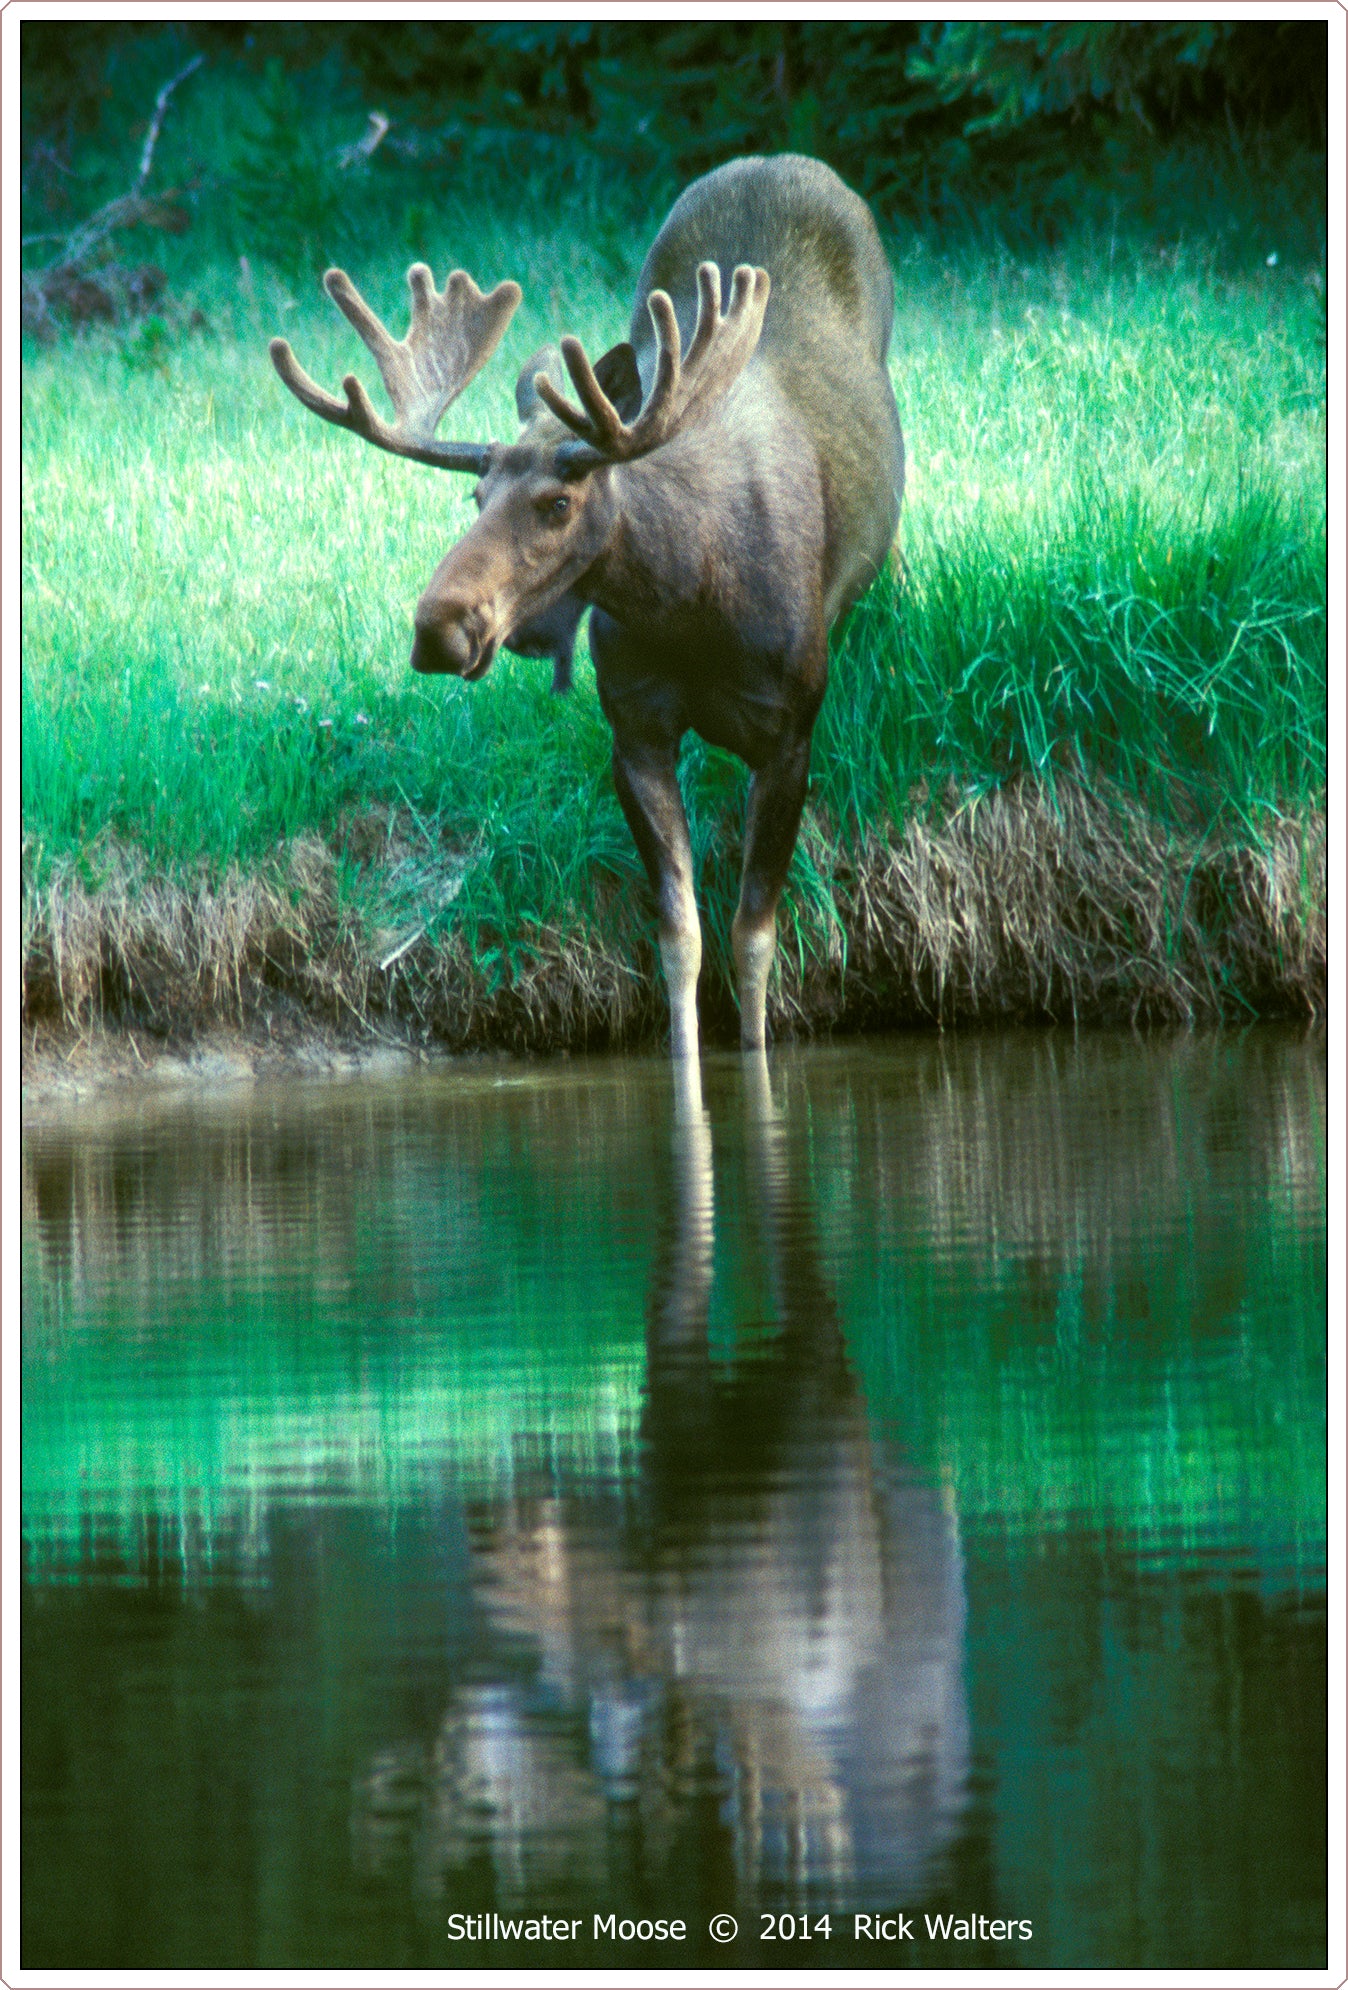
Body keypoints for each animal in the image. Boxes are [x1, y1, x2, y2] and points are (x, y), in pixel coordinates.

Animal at [270, 154, 905, 1058]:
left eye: (558, 503)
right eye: (474, 496)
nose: (438, 626)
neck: (692, 602)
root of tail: (781, 160)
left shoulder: (791, 732)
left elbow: (754, 938)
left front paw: (756, 1055)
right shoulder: (633, 729)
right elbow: (680, 937)